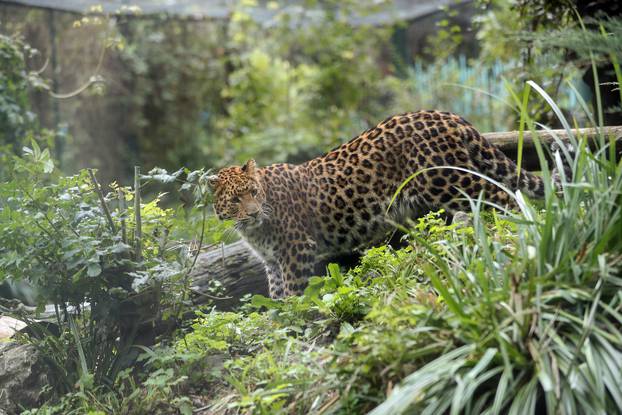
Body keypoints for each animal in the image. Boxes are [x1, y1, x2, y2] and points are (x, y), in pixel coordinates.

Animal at [210, 110, 552, 300]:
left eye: (253, 192)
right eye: (237, 199)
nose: (254, 212)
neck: (253, 231)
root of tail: (446, 115)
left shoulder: (297, 249)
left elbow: (294, 292)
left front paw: (294, 317)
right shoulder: (272, 261)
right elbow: (276, 294)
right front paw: (279, 318)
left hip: (449, 181)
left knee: (505, 197)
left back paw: (520, 231)